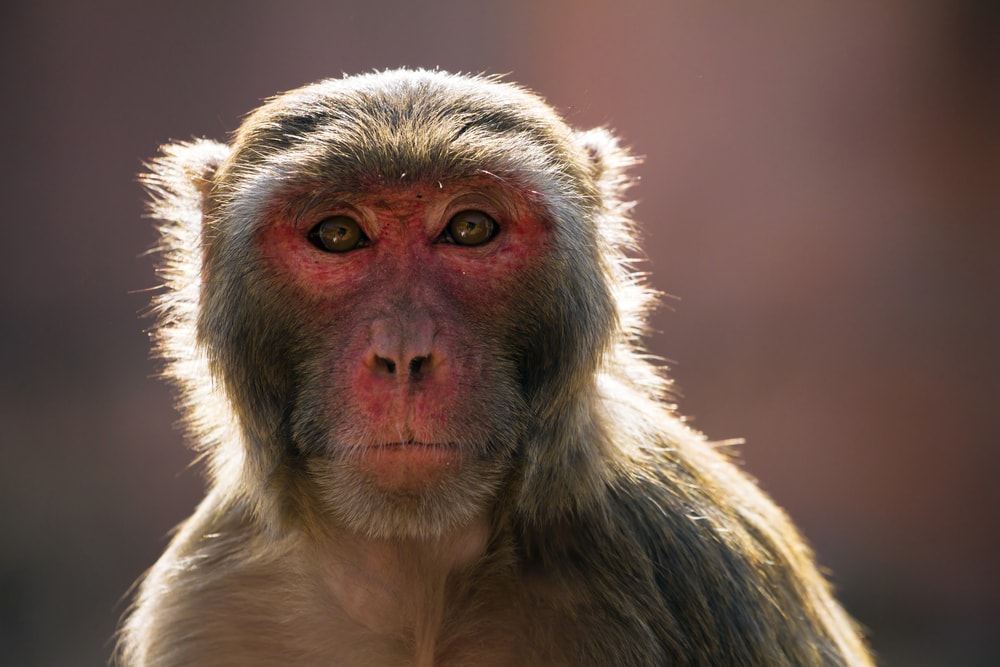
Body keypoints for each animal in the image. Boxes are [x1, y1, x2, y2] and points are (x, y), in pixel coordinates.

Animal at [117, 69, 874, 666]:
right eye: (337, 234)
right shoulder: (207, 597)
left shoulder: (695, 558)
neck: (419, 584)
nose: (404, 352)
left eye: (470, 228)